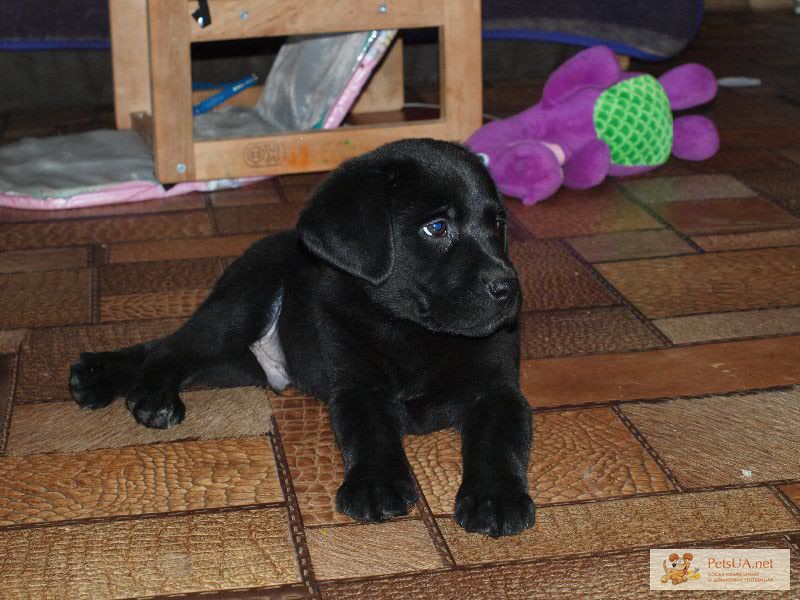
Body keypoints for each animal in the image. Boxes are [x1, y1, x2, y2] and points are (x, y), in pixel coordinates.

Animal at [67, 138, 532, 536]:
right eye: (436, 228)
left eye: (497, 225)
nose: (508, 288)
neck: (411, 331)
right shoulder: (357, 387)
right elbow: (371, 433)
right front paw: (375, 485)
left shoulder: (499, 391)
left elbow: (498, 441)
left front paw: (496, 499)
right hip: (239, 310)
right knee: (171, 347)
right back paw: (149, 396)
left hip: (237, 363)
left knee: (169, 349)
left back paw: (94, 375)